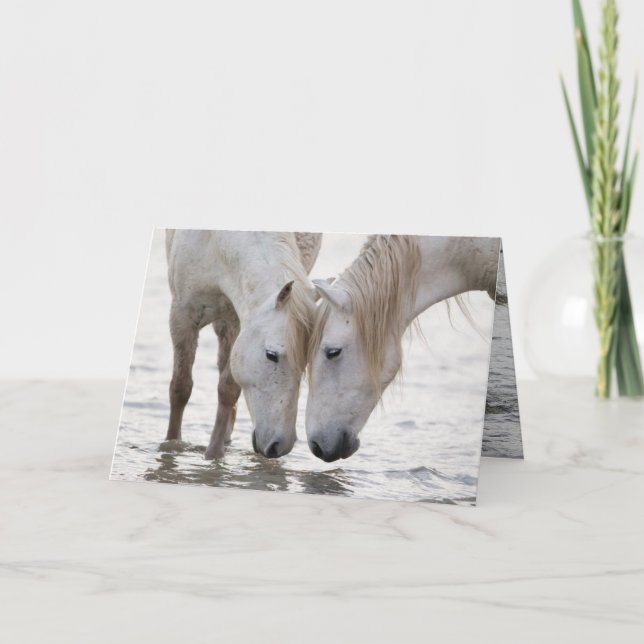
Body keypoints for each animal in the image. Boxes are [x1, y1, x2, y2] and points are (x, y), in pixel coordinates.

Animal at [165, 230, 321, 459]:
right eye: (271, 354)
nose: (280, 446)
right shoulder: (182, 315)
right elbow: (180, 388)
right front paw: (171, 443)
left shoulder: (237, 320)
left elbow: (228, 389)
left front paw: (214, 454)